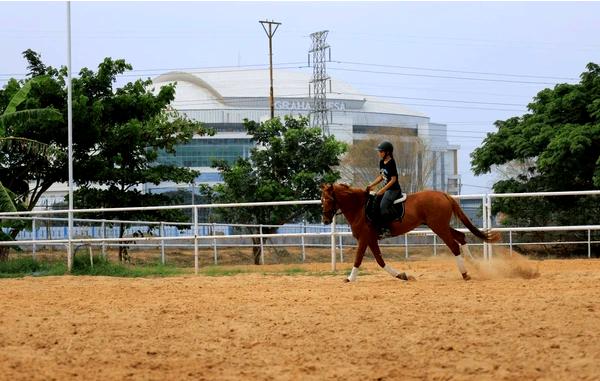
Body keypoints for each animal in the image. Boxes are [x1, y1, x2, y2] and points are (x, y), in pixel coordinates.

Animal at [318, 183, 502, 280]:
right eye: (321, 199)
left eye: (329, 199)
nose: (325, 220)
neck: (360, 208)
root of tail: (443, 195)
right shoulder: (371, 239)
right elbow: (380, 260)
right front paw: (401, 275)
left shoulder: (364, 238)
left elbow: (358, 259)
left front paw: (350, 279)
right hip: (440, 225)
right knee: (461, 237)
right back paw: (476, 266)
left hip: (439, 227)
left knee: (454, 246)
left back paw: (464, 273)